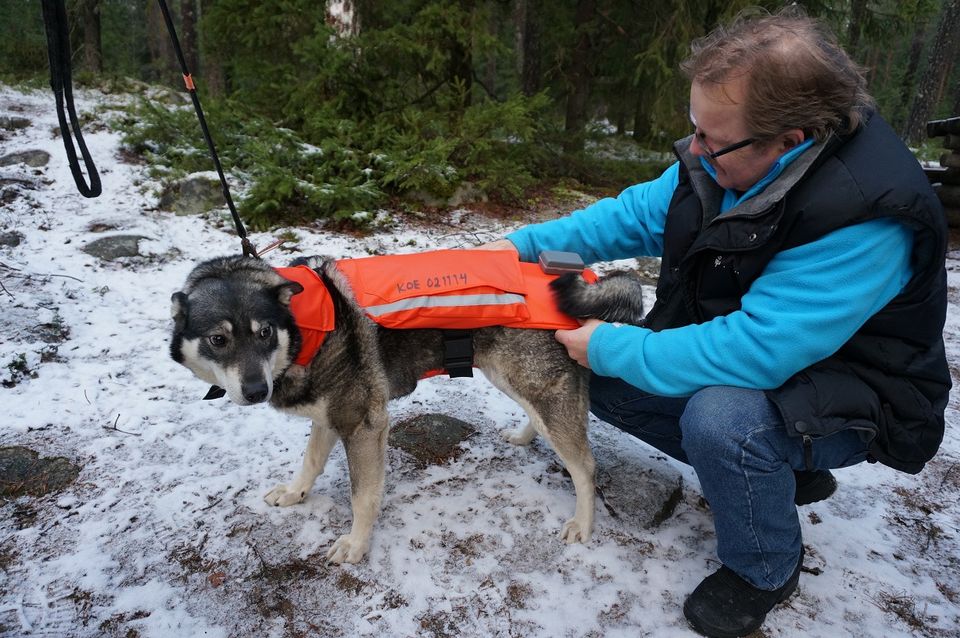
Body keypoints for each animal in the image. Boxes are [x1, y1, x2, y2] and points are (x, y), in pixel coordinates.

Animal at [171, 255, 644, 564]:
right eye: (218, 339)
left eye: (265, 331)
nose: (255, 390)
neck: (306, 326)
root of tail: (587, 279)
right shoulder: (331, 417)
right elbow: (310, 463)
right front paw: (294, 493)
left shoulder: (363, 424)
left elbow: (362, 496)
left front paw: (356, 546)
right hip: (509, 377)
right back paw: (525, 436)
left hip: (537, 390)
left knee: (584, 466)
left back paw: (583, 523)